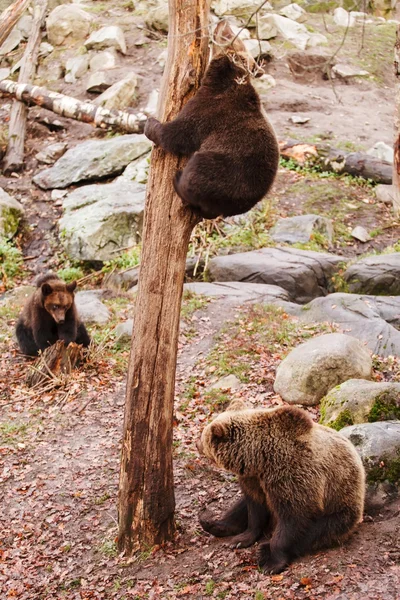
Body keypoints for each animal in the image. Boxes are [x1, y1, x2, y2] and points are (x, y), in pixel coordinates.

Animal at [143, 22, 278, 223]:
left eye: (229, 34)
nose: (223, 22)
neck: (223, 80)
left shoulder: (209, 109)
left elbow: (179, 134)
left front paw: (149, 124)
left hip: (224, 171)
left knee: (196, 174)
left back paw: (178, 179)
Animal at [197, 400, 366, 576]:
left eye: (203, 437)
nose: (196, 444)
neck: (259, 459)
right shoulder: (254, 481)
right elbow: (254, 508)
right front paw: (240, 539)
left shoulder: (292, 475)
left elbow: (294, 519)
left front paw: (272, 563)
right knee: (240, 505)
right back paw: (212, 524)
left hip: (340, 505)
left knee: (318, 532)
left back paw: (264, 550)